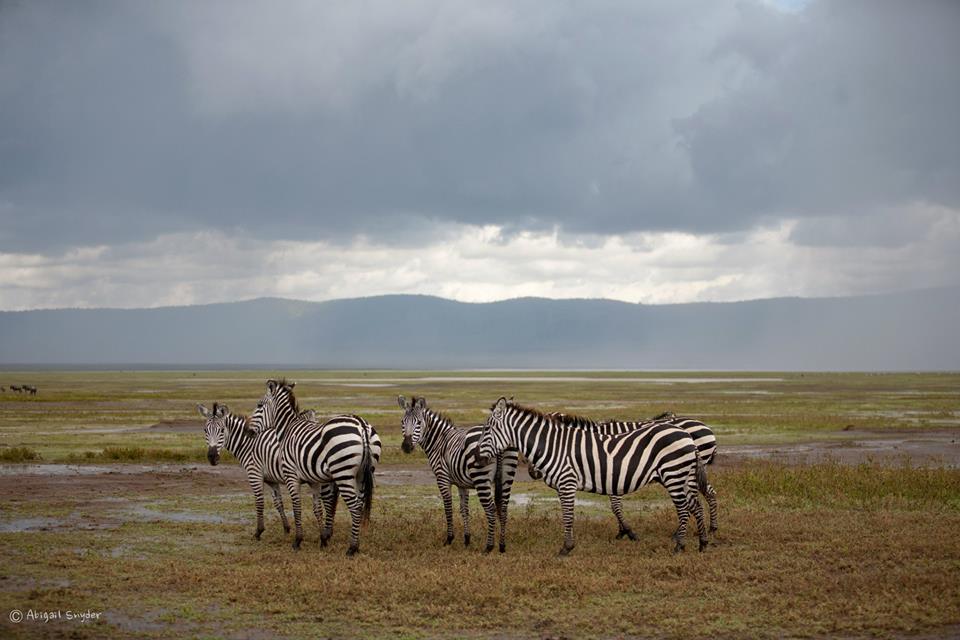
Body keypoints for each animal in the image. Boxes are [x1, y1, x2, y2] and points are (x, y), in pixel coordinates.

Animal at [197, 402, 293, 539]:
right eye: (205, 430)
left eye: (222, 430)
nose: (212, 457)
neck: (249, 444)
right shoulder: (271, 479)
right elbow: (278, 503)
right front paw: (286, 529)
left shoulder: (254, 474)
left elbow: (259, 502)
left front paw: (259, 532)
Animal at [251, 379, 381, 555]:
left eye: (259, 405)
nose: (249, 431)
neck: (286, 430)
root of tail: (361, 425)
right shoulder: (314, 480)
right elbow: (317, 508)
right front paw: (323, 539)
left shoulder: (291, 475)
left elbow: (297, 506)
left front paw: (298, 541)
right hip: (362, 474)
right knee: (360, 505)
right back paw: (357, 545)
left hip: (343, 473)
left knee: (354, 507)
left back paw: (351, 548)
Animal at [398, 395, 519, 553]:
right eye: (402, 422)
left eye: (418, 423)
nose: (406, 447)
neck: (439, 440)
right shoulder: (462, 483)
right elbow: (464, 509)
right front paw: (467, 539)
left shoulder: (442, 478)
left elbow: (448, 507)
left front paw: (449, 539)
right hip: (507, 477)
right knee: (503, 508)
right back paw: (502, 546)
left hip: (481, 479)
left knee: (491, 509)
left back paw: (489, 547)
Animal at [476, 398, 709, 555]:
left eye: (487, 429)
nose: (477, 456)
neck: (555, 446)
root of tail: (687, 435)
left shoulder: (568, 483)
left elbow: (568, 516)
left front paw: (566, 548)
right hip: (682, 476)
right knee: (696, 506)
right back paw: (703, 543)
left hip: (673, 474)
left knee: (684, 508)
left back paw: (680, 546)